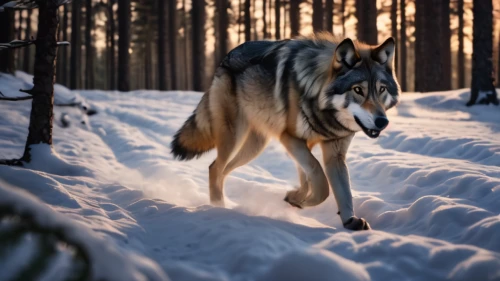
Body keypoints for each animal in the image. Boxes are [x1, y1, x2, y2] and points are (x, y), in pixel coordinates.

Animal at [170, 32, 400, 230]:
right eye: (358, 90)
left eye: (381, 89)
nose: (382, 122)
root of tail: (225, 58)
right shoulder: (290, 138)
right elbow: (320, 181)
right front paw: (301, 200)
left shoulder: (331, 152)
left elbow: (339, 189)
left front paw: (347, 219)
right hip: (234, 137)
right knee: (215, 168)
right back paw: (219, 207)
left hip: (254, 147)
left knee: (222, 170)